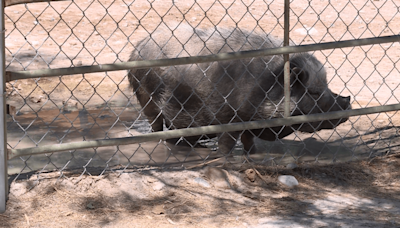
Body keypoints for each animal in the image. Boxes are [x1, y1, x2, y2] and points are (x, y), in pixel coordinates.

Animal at [128, 25, 350, 154]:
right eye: (314, 92)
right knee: (157, 125)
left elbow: (248, 138)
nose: (347, 100)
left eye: (326, 86)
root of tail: (137, 47)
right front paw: (225, 157)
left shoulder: (249, 121)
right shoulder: (229, 117)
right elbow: (227, 142)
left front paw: (252, 153)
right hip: (146, 97)